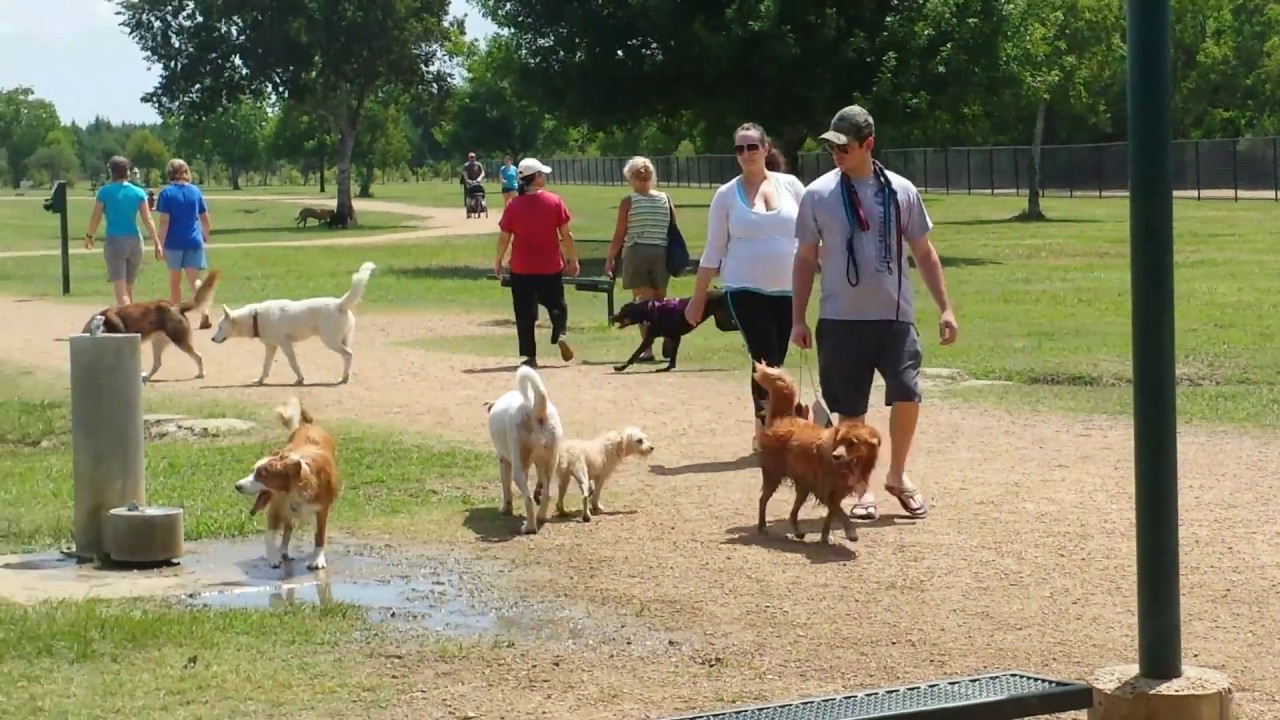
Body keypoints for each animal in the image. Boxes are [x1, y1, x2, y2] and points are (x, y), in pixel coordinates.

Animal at [81, 269, 220, 381]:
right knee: (158, 364)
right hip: (157, 343)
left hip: (180, 341)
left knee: (198, 356)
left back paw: (201, 374)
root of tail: (174, 307)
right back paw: (146, 377)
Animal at [209, 260, 376, 384]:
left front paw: (300, 378)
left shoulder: (285, 344)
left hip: (330, 341)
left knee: (349, 354)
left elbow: (293, 363)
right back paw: (345, 376)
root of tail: (340, 304)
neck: (255, 317)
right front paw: (260, 380)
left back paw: (344, 378)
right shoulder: (271, 347)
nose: (212, 339)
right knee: (347, 357)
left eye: (220, 327)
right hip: (341, 340)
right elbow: (265, 366)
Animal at [232, 394, 337, 568]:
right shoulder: (276, 507)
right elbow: (269, 535)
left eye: (261, 474)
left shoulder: (322, 509)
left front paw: (317, 559)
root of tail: (308, 425)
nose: (237, 486)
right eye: (253, 471)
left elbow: (319, 534)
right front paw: (273, 556)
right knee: (288, 528)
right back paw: (282, 550)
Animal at [483, 363, 560, 532]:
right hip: (549, 463)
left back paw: (529, 527)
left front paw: (506, 509)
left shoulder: (504, 461)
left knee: (528, 498)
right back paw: (541, 517)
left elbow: (506, 489)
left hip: (518, 468)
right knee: (547, 494)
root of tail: (536, 409)